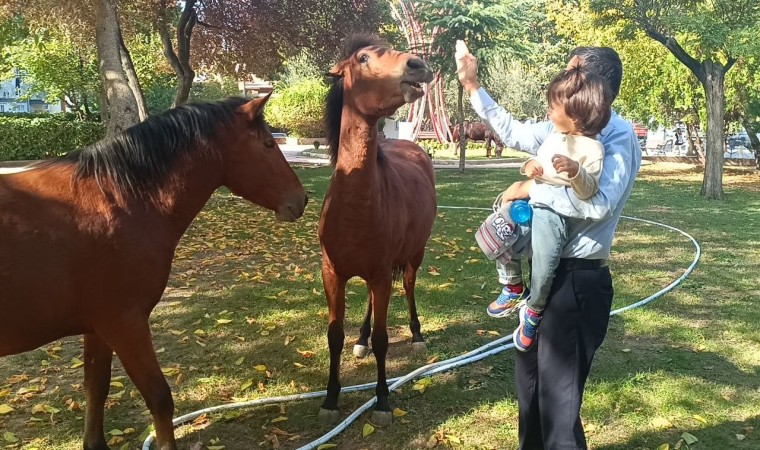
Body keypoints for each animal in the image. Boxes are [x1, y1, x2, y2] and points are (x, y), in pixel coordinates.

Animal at [1, 96, 308, 450]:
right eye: (269, 144)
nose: (302, 199)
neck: (116, 200)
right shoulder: (125, 324)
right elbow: (160, 397)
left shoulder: (97, 328)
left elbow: (97, 387)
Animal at [318, 35, 436, 426]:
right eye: (364, 58)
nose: (418, 65)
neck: (355, 209)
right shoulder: (332, 274)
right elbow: (334, 335)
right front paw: (330, 398)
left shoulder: (383, 274)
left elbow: (385, 339)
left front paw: (382, 401)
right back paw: (361, 339)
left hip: (414, 255)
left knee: (410, 286)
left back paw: (416, 335)